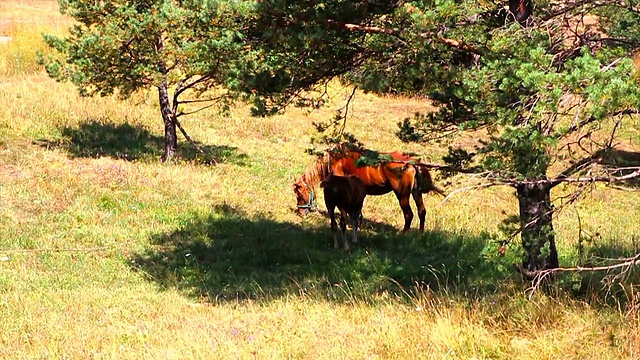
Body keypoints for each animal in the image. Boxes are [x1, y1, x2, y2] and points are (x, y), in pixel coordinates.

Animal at [292, 146, 442, 232]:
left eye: (299, 195)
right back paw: (420, 234)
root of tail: (411, 162)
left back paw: (404, 234)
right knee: (422, 211)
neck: (336, 160)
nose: (300, 212)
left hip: (402, 194)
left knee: (409, 214)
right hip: (416, 193)